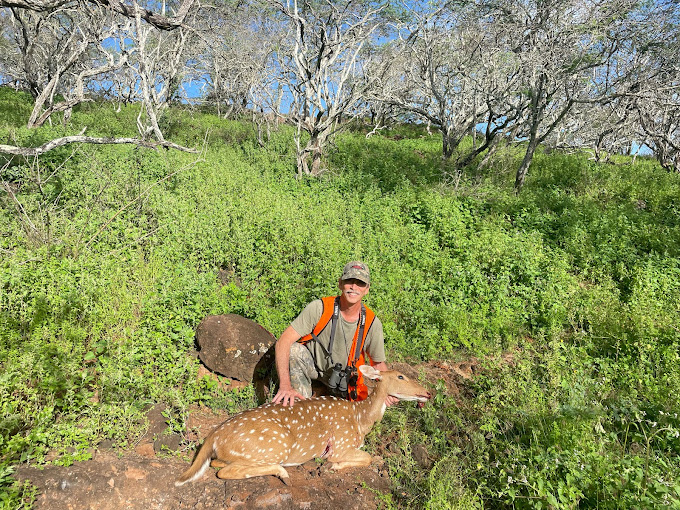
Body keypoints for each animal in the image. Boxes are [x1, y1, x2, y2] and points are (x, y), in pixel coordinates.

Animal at [175, 365, 431, 485]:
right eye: (401, 377)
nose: (428, 392)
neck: (361, 419)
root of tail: (213, 436)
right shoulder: (340, 443)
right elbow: (366, 458)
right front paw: (335, 466)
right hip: (276, 444)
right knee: (226, 471)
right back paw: (282, 472)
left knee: (217, 463)